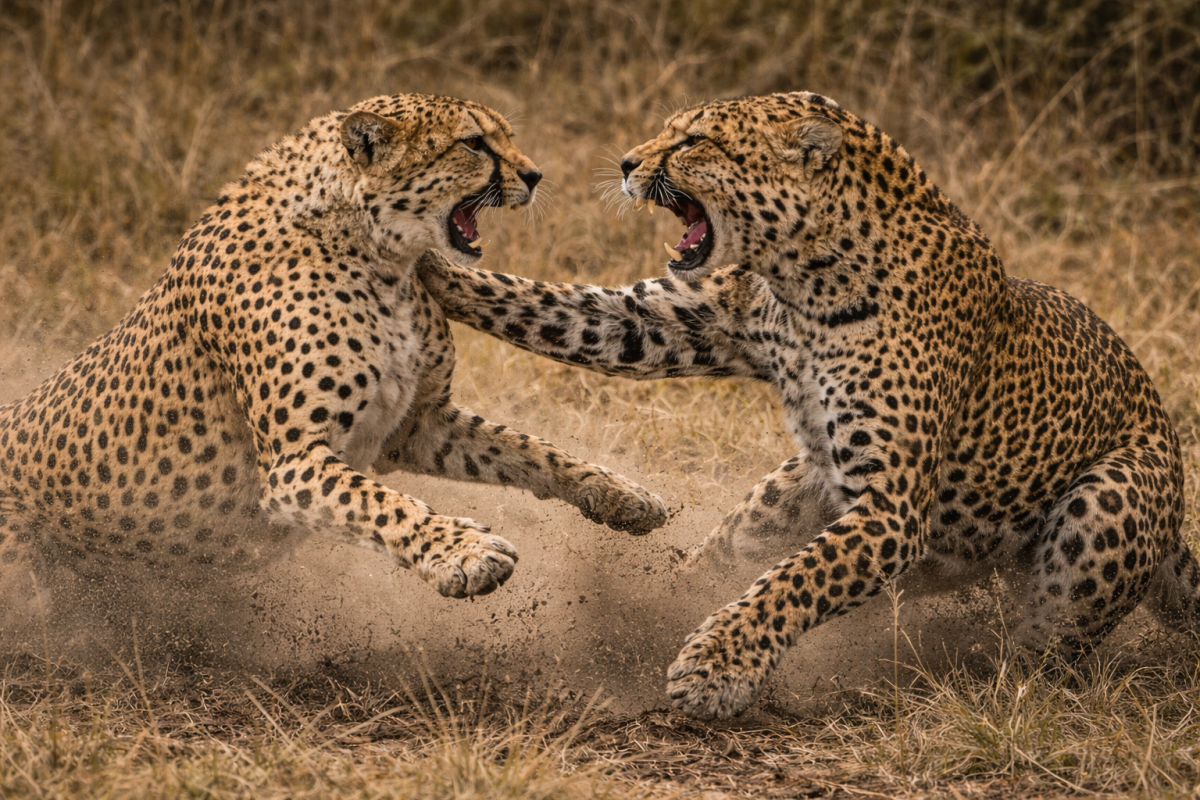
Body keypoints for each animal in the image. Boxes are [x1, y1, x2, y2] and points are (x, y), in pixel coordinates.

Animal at [0, 92, 668, 620]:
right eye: (474, 143)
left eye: (506, 137)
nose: (534, 175)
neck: (377, 257)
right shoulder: (293, 463)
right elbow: (384, 504)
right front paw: (465, 552)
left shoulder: (417, 424)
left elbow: (530, 449)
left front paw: (621, 494)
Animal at [416, 90, 1200, 720]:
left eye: (694, 141)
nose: (629, 164)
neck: (806, 279)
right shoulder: (672, 323)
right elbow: (553, 305)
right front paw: (432, 266)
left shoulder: (890, 509)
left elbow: (796, 583)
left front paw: (716, 668)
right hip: (784, 494)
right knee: (725, 557)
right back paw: (642, 602)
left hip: (1106, 503)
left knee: (1049, 649)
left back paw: (989, 685)